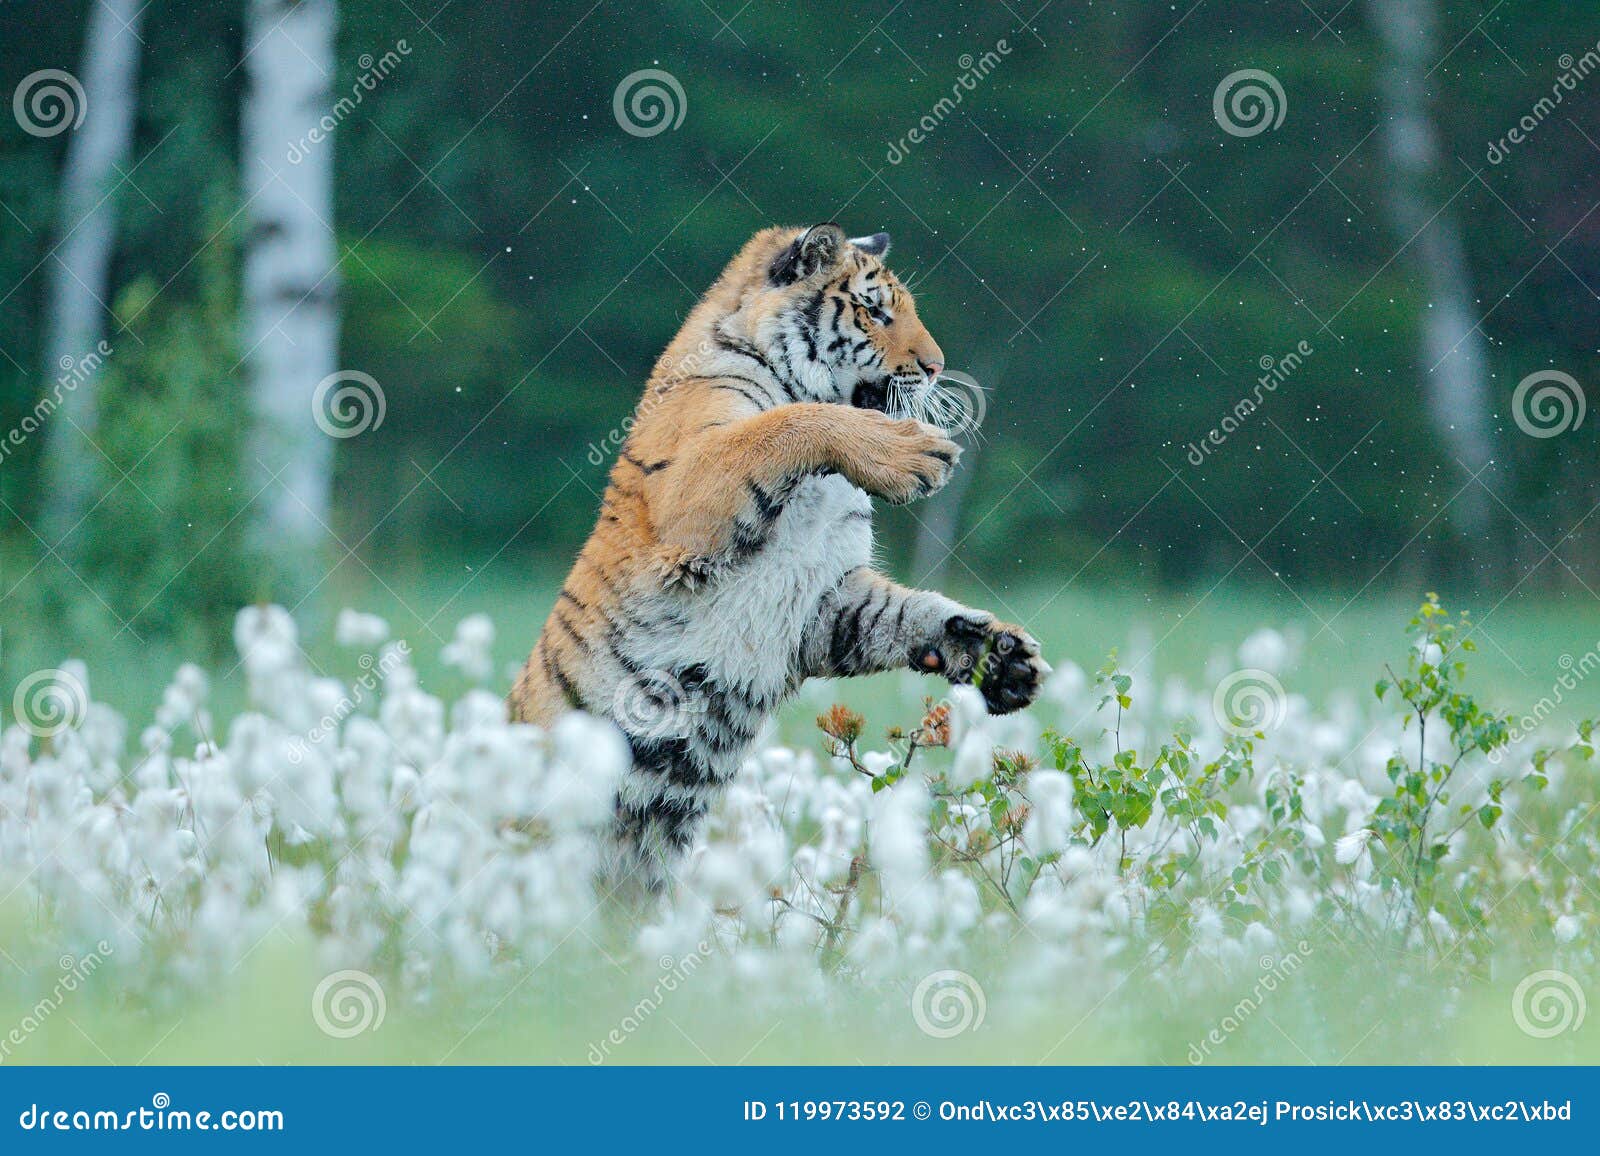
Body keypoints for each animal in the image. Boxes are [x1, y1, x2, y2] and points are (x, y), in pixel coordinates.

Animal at [508, 225, 1049, 890]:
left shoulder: (826, 601)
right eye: (875, 311)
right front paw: (909, 455)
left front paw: (1001, 659)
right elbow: (789, 421)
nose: (936, 368)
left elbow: (908, 613)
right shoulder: (689, 490)